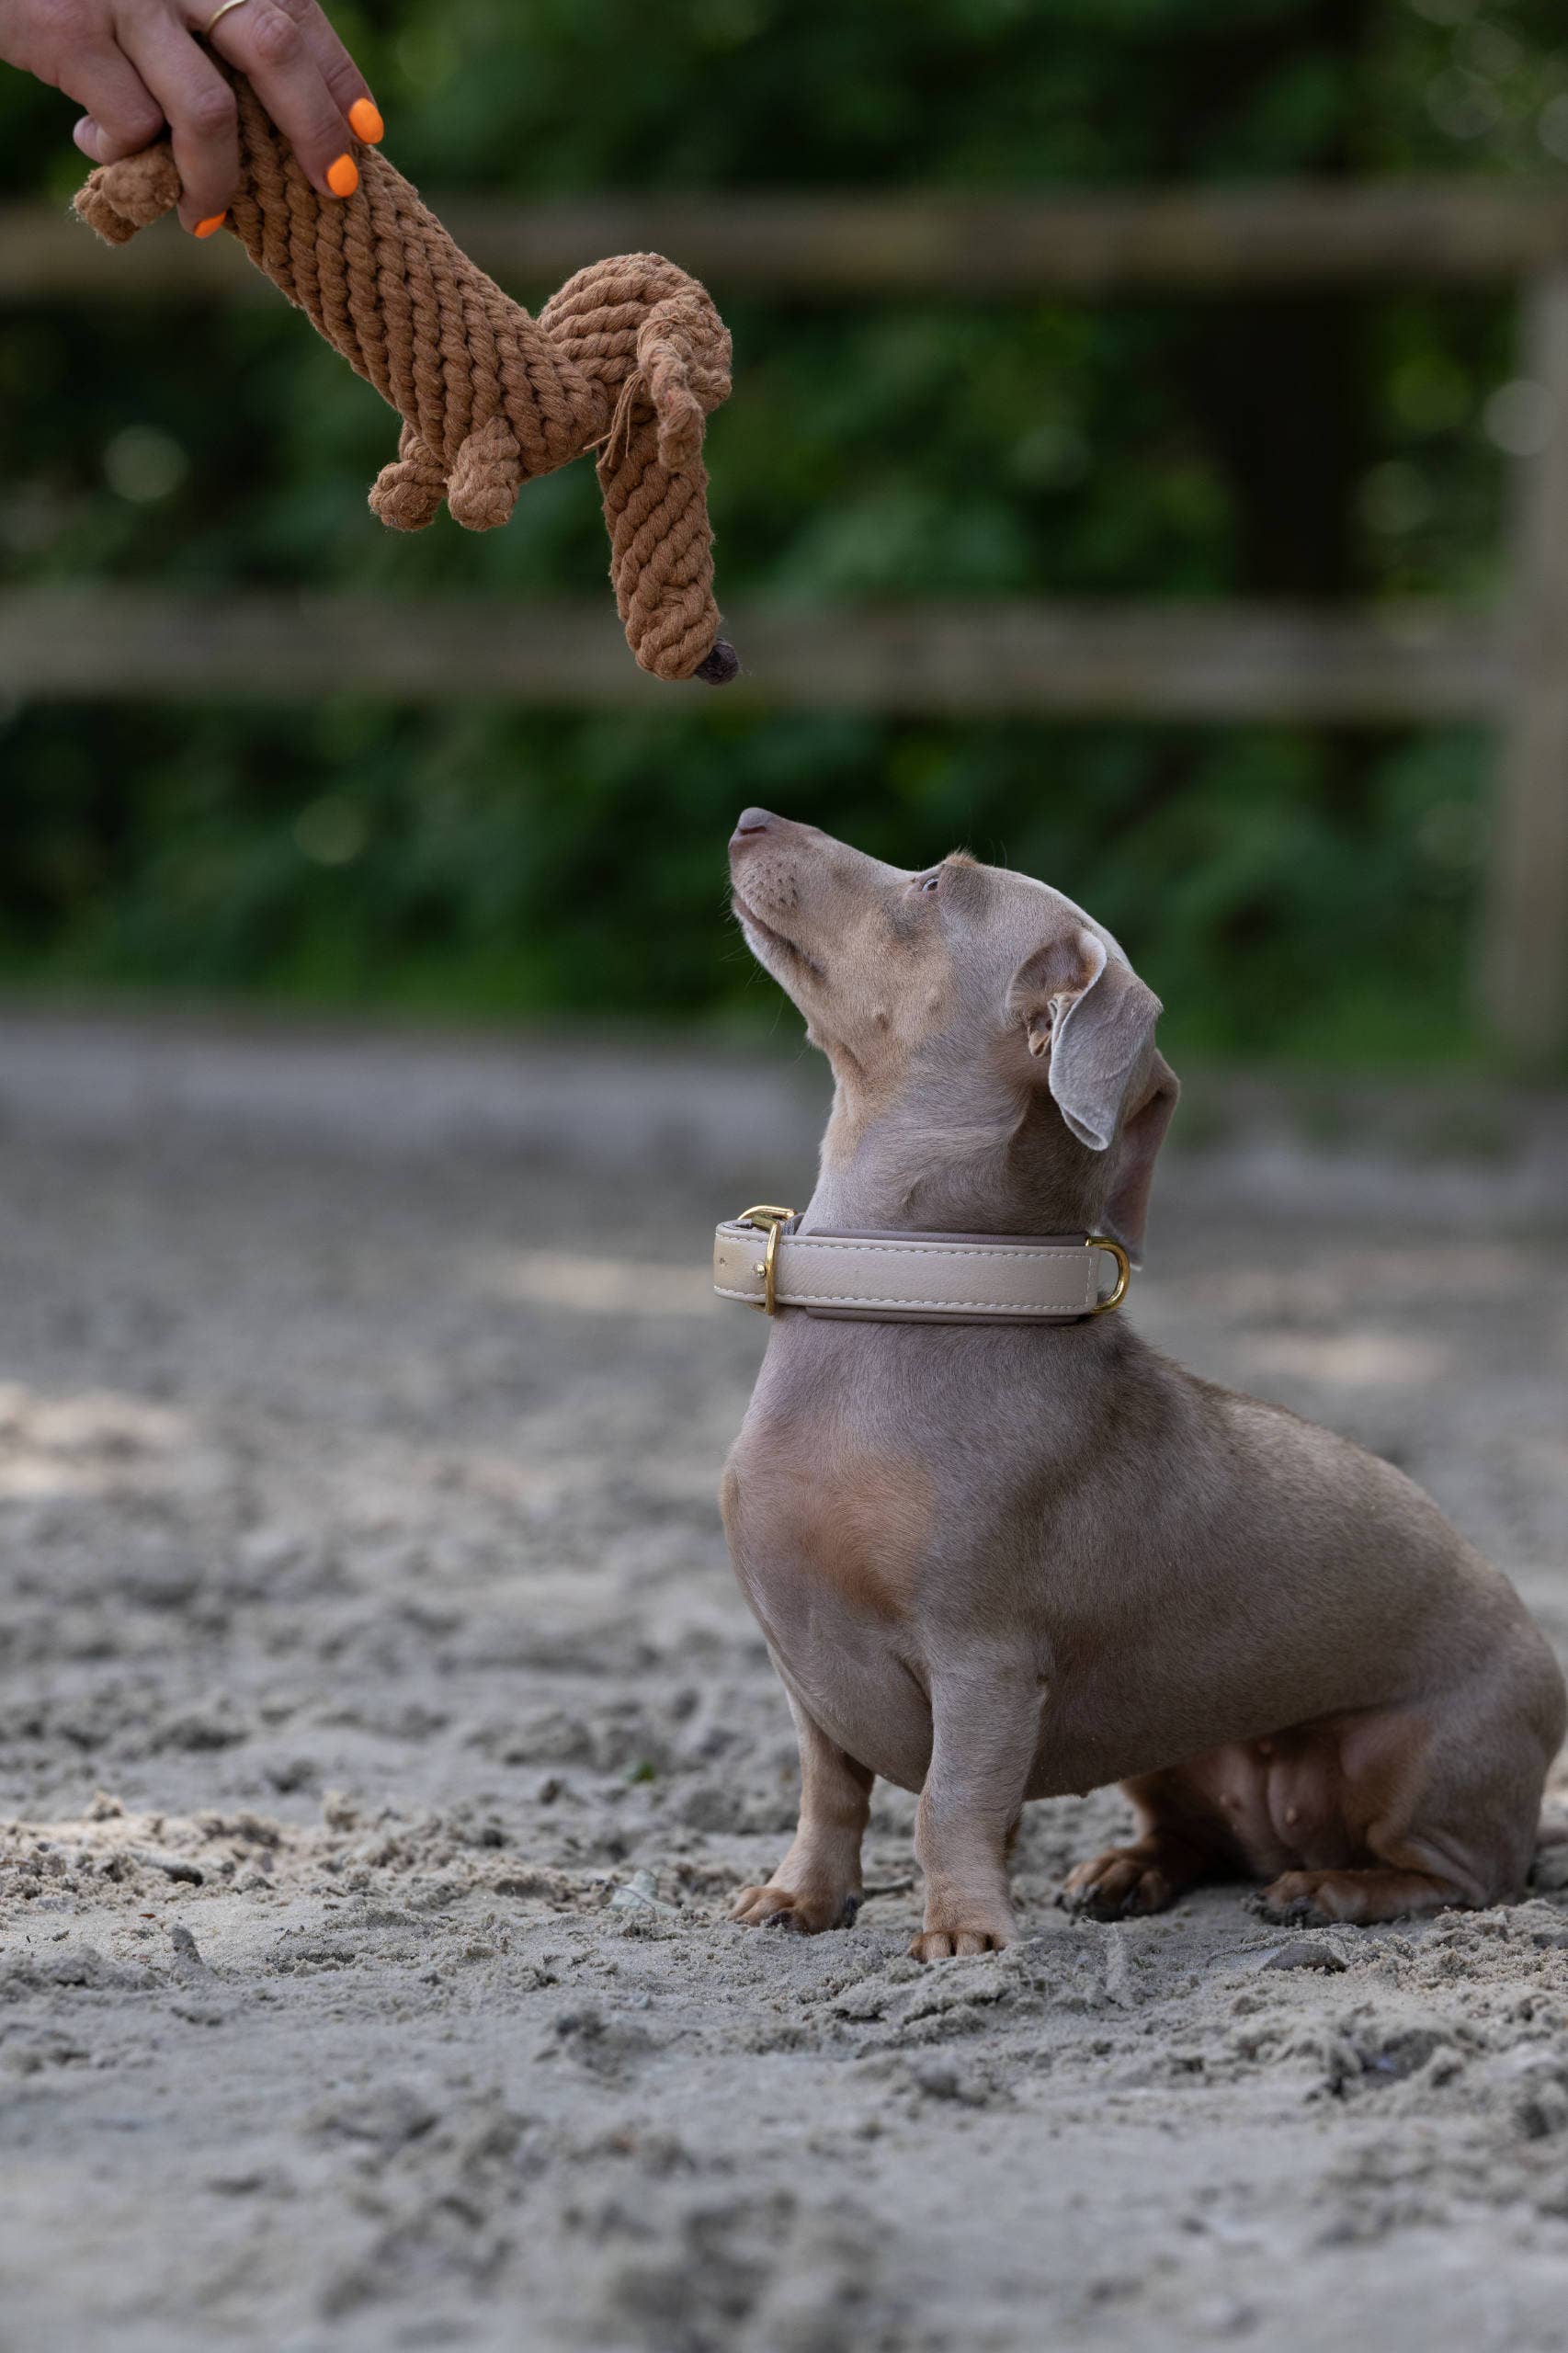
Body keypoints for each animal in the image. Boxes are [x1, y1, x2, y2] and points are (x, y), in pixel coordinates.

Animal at [715, 818, 1553, 1957]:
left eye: (933, 886)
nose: (751, 819)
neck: (909, 1293)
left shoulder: (984, 1663)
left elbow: (949, 1802)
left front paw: (964, 1935)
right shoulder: (806, 1676)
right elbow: (827, 1794)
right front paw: (798, 1896)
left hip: (1411, 1764)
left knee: (1460, 1875)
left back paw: (1332, 1889)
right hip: (1170, 1752)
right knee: (1199, 1840)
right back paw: (1126, 1870)